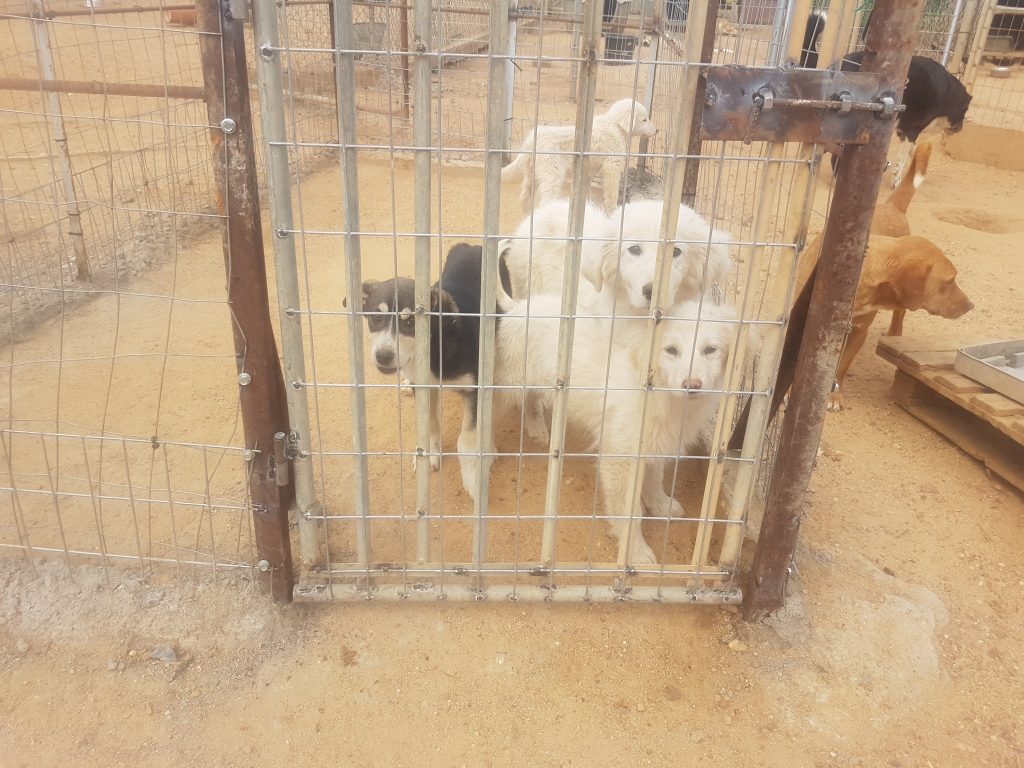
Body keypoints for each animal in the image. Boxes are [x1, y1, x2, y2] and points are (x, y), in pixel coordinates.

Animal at [348, 243, 512, 470]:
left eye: (411, 323)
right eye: (376, 317)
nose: (383, 356)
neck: (436, 347)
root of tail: (472, 245)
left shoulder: (475, 389)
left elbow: (472, 432)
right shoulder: (425, 386)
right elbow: (431, 422)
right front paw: (431, 452)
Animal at [490, 290, 738, 564]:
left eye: (710, 350)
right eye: (671, 350)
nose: (691, 385)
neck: (658, 391)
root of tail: (519, 305)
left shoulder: (656, 442)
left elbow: (655, 478)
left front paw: (661, 505)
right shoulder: (619, 458)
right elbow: (629, 512)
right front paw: (636, 553)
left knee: (531, 398)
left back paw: (537, 429)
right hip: (508, 383)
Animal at [501, 98, 658, 214]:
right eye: (644, 120)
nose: (657, 130)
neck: (616, 126)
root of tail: (530, 141)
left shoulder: (589, 169)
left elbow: (585, 190)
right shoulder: (612, 167)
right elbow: (611, 194)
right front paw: (612, 211)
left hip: (532, 172)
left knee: (524, 196)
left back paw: (527, 215)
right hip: (552, 175)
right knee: (544, 200)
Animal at [797, 234, 973, 411]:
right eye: (950, 281)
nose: (971, 305)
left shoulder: (859, 333)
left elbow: (842, 366)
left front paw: (834, 395)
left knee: (899, 313)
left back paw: (894, 335)